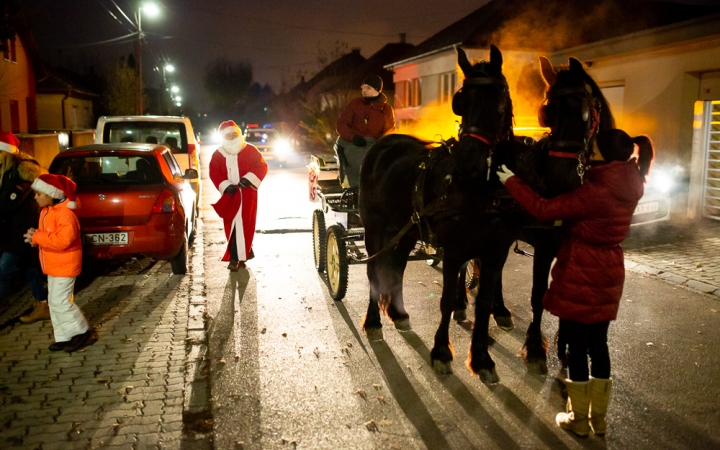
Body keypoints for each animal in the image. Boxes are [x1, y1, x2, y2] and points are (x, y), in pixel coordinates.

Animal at [360, 44, 516, 384]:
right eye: (461, 101)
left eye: (499, 102)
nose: (469, 161)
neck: (477, 189)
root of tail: (384, 143)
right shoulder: (455, 250)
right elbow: (445, 301)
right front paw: (442, 352)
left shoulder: (495, 252)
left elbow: (484, 303)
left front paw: (482, 358)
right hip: (374, 227)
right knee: (374, 270)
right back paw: (374, 322)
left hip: (406, 228)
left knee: (397, 268)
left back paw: (399, 313)